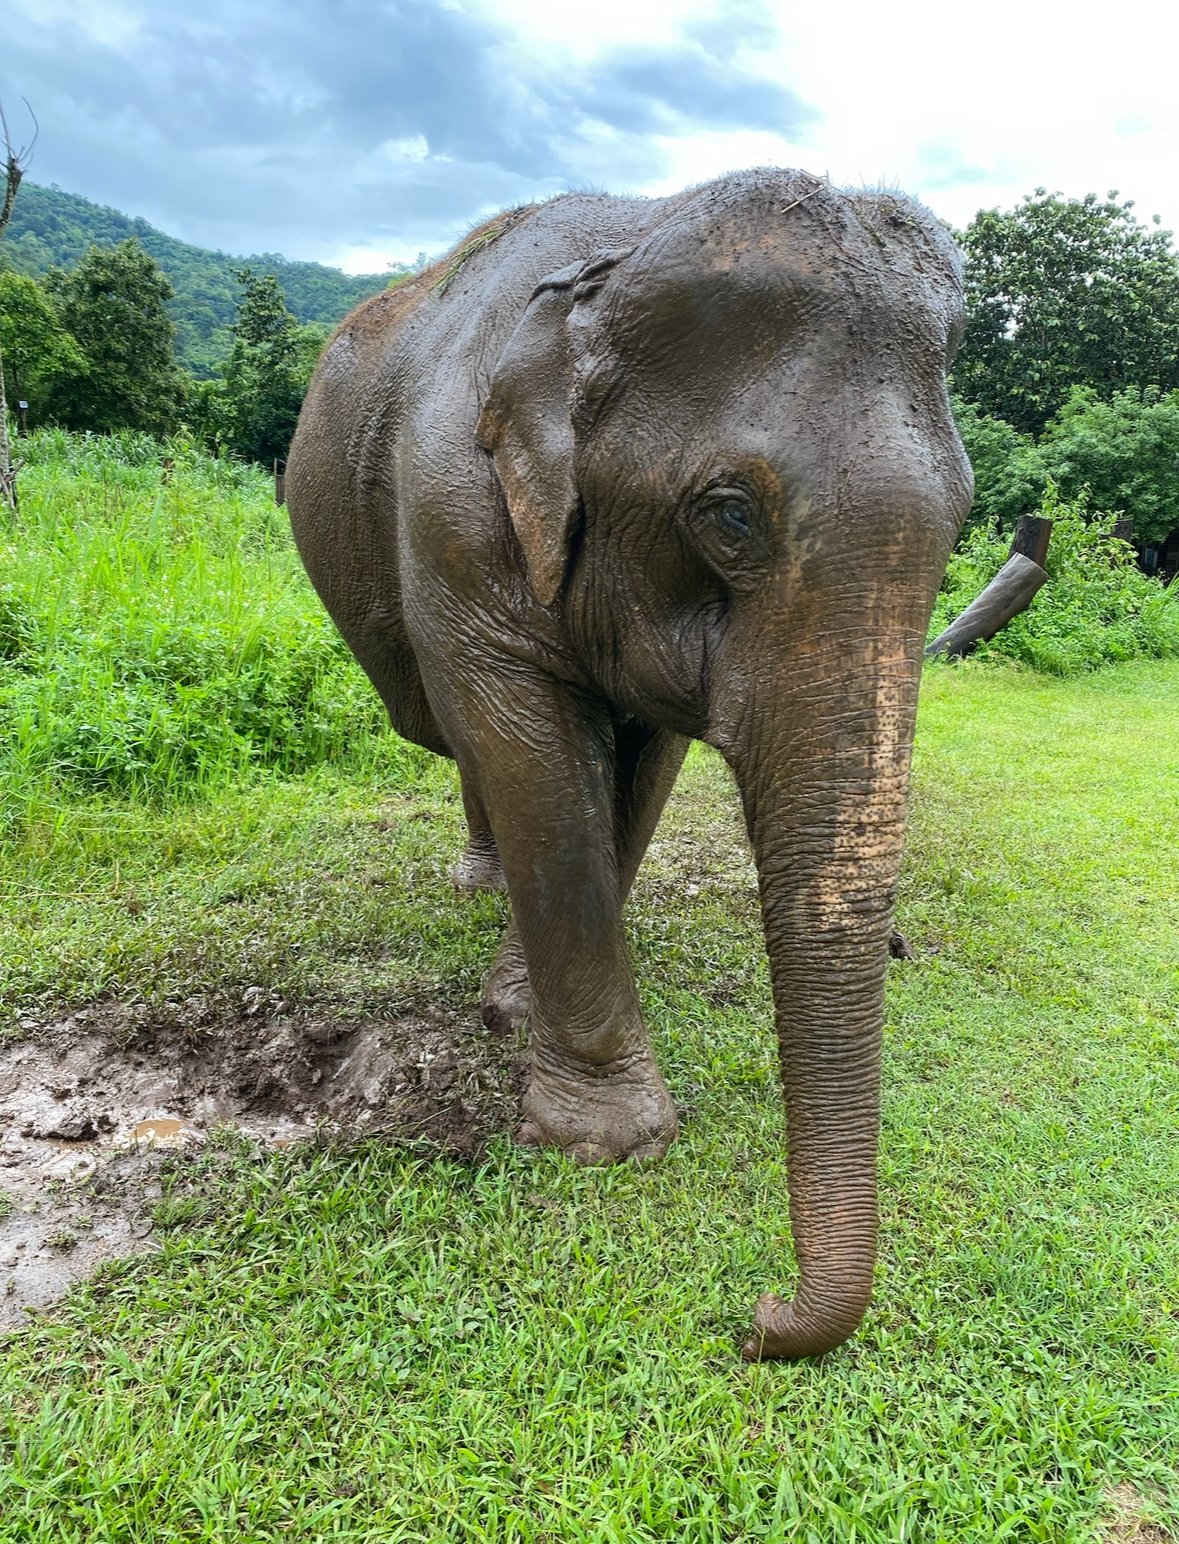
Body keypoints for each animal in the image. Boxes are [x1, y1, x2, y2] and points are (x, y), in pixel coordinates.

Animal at [286, 168, 973, 1359]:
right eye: (731, 516)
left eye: (966, 524)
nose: (760, 1313)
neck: (629, 241)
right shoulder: (452, 513)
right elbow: (530, 747)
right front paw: (602, 1142)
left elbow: (638, 770)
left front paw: (513, 1013)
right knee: (461, 731)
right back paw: (479, 886)